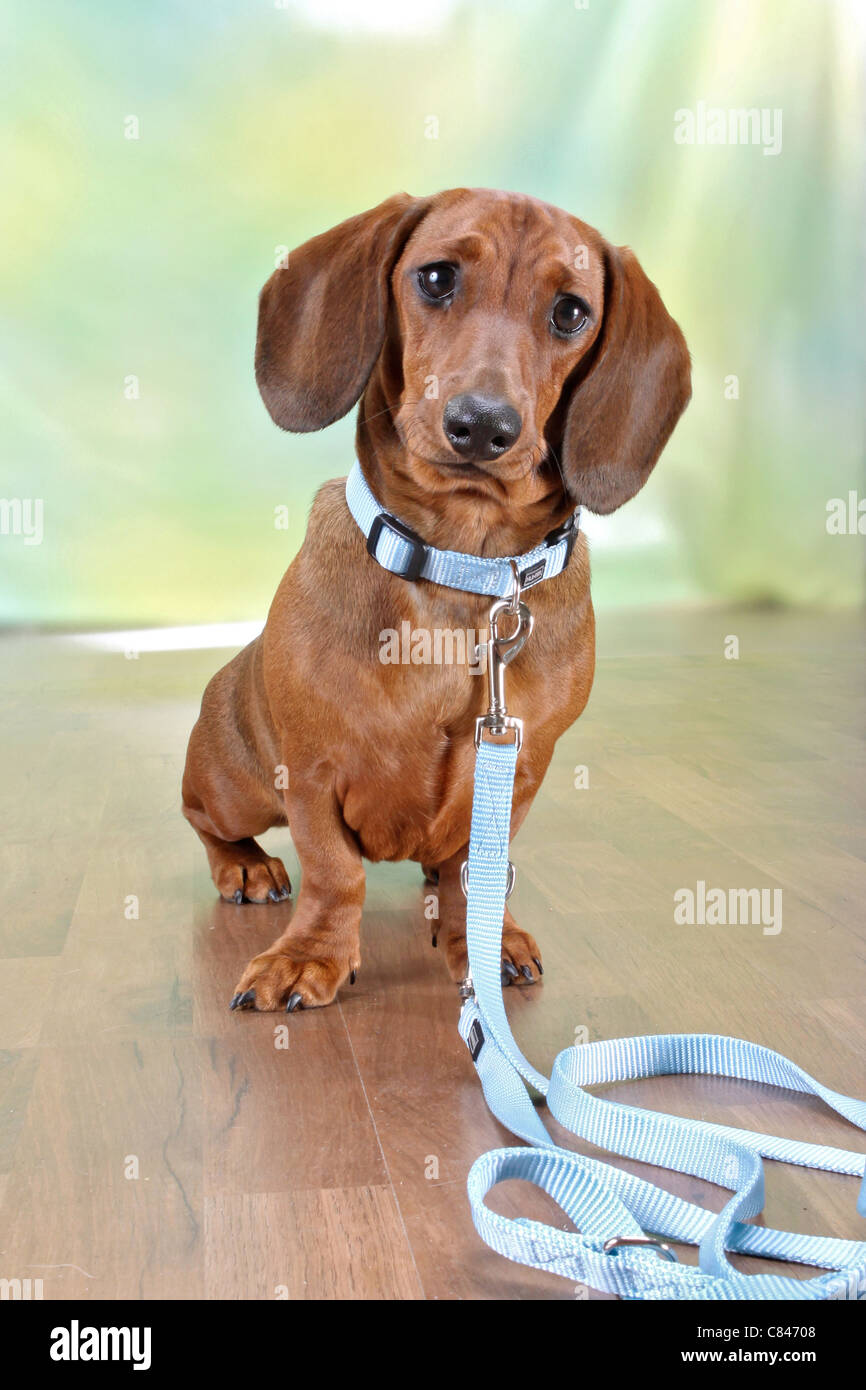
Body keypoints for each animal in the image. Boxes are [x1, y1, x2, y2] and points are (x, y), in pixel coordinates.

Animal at [183, 187, 692, 1011]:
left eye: (571, 312)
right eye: (436, 277)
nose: (482, 425)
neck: (464, 569)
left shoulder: (519, 768)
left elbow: (472, 872)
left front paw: (483, 942)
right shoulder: (312, 772)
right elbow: (335, 871)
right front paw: (309, 955)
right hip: (237, 784)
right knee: (205, 817)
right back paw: (246, 865)